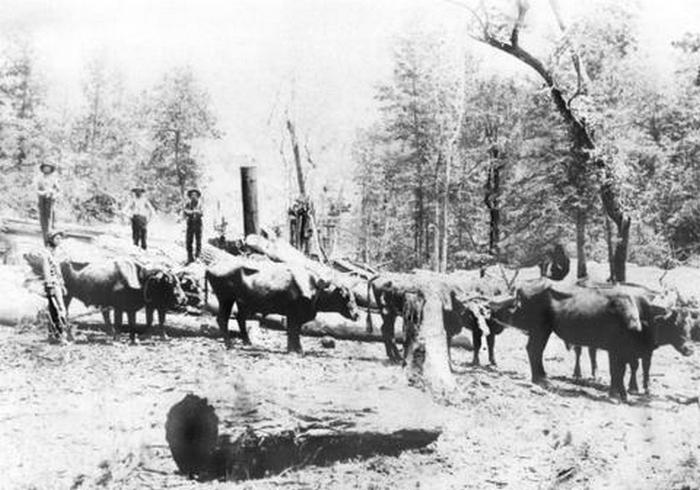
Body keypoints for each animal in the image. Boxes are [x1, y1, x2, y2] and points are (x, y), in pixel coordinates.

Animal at [205, 259, 359, 353]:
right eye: (346, 296)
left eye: (354, 296)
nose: (357, 314)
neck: (313, 286)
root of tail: (211, 266)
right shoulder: (293, 314)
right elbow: (293, 331)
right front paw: (297, 350)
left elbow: (293, 331)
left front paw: (292, 348)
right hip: (226, 299)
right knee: (222, 319)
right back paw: (229, 344)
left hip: (240, 302)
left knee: (239, 318)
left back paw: (247, 342)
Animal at [494, 279, 694, 400]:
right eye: (675, 323)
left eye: (691, 324)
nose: (690, 349)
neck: (642, 313)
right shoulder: (615, 350)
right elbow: (616, 371)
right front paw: (616, 394)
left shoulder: (629, 352)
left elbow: (625, 370)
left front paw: (624, 393)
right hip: (540, 330)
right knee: (534, 349)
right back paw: (541, 380)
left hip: (543, 331)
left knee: (535, 350)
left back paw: (543, 377)